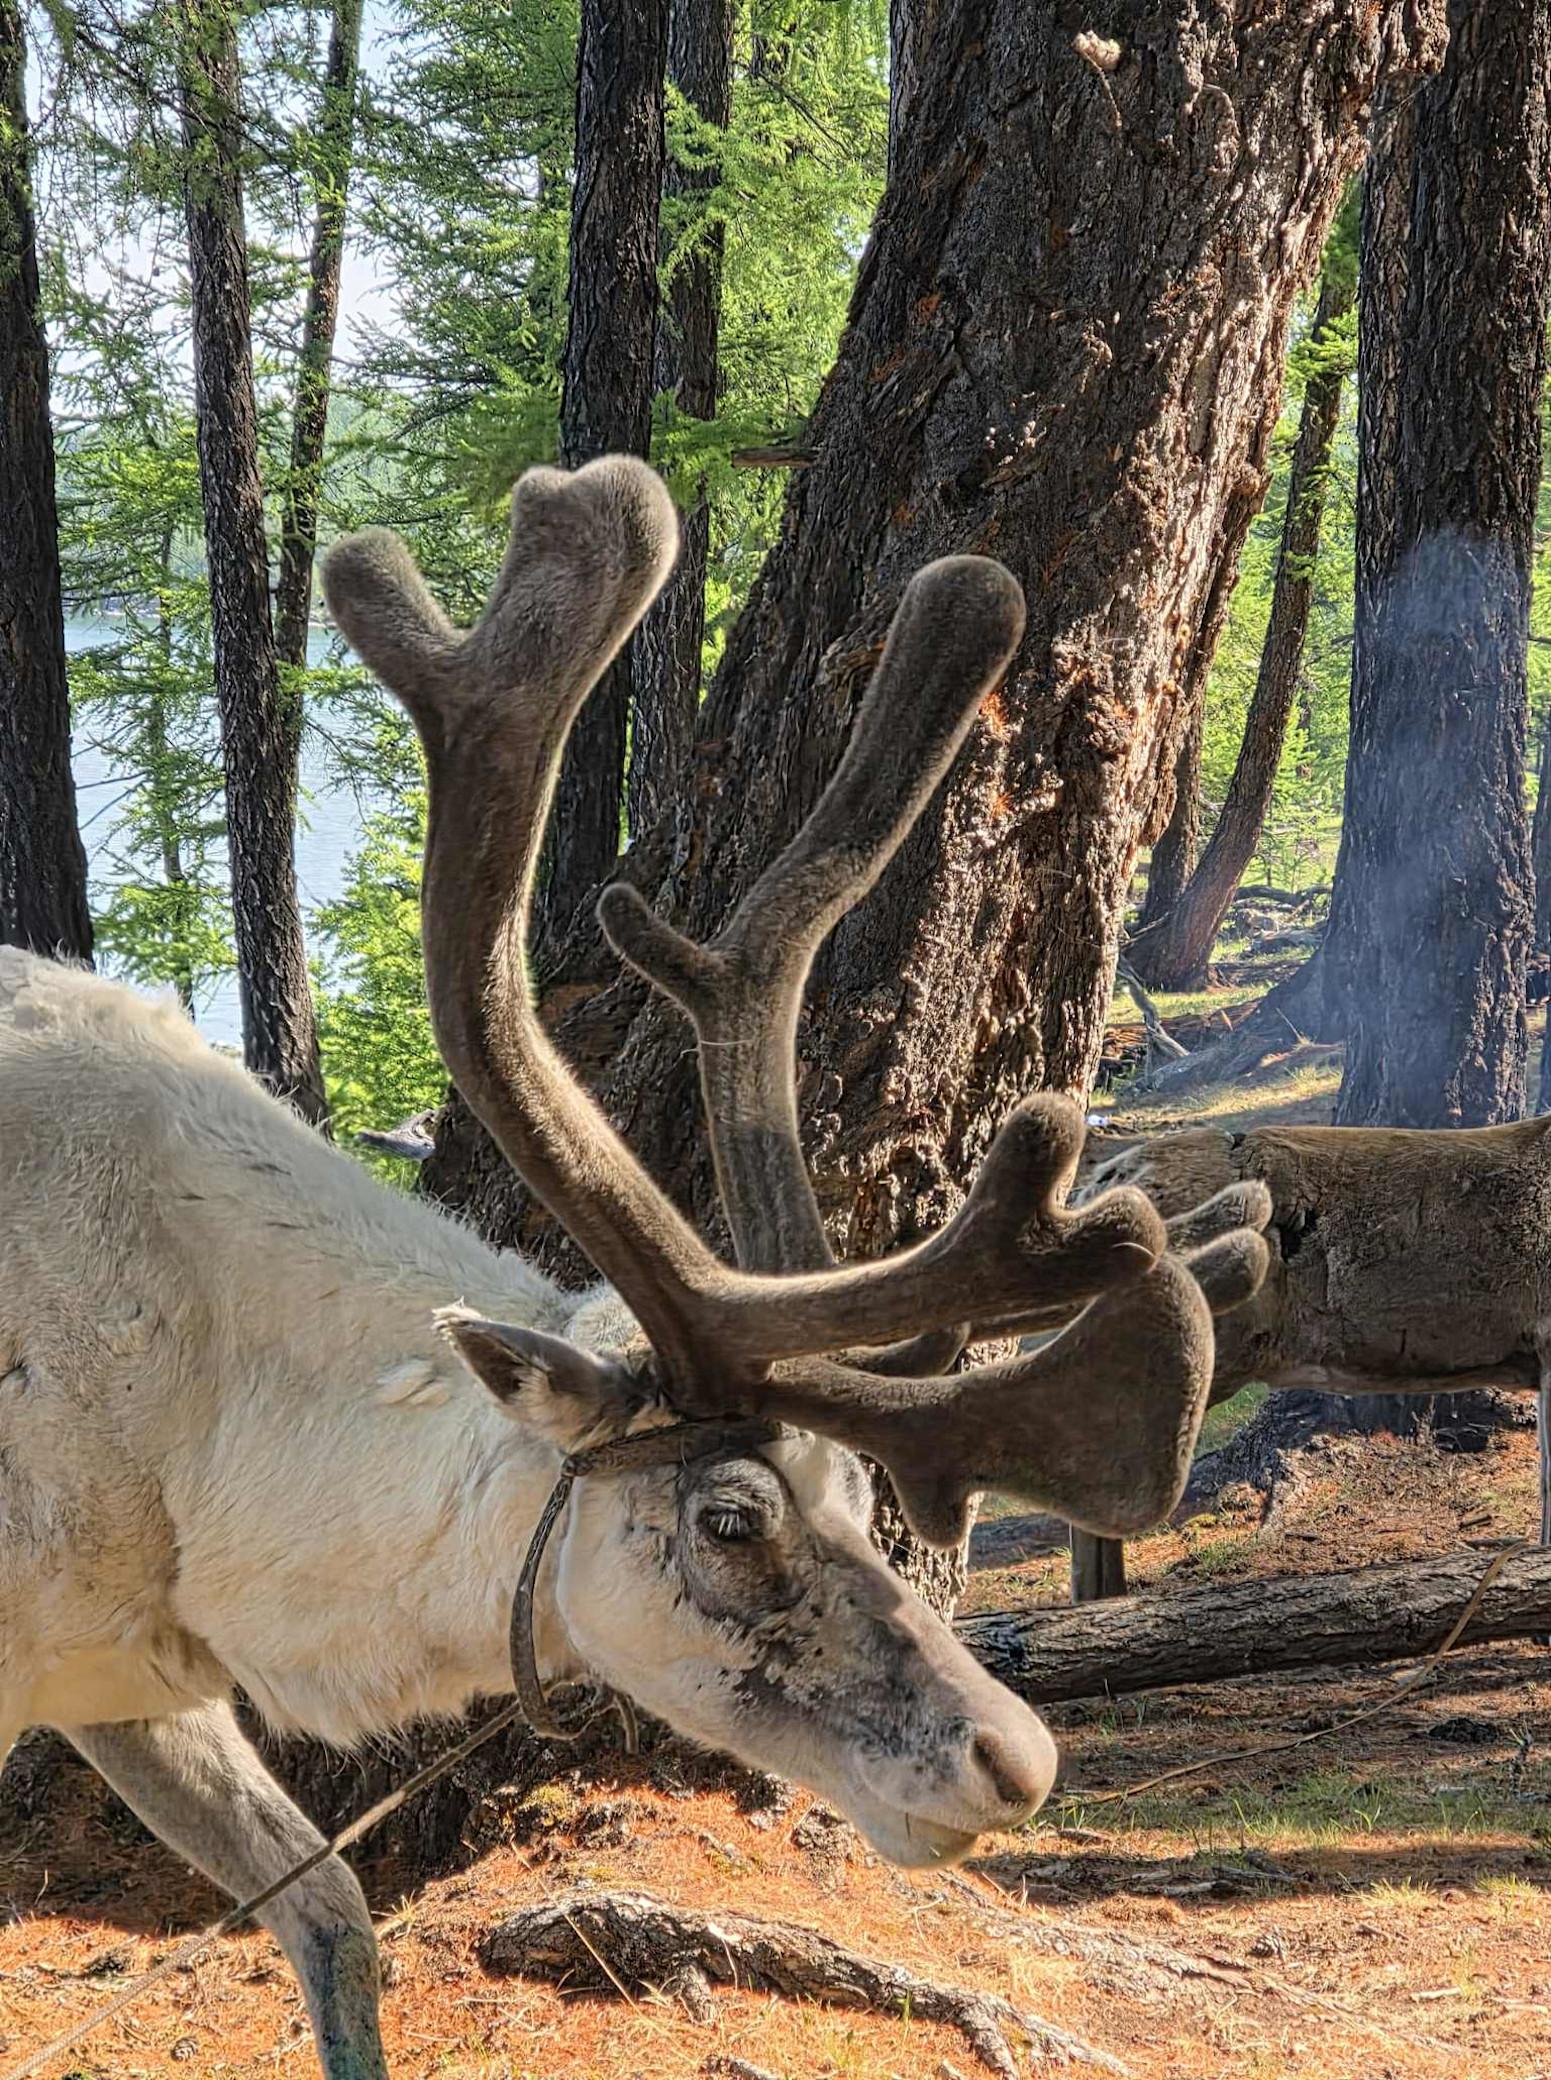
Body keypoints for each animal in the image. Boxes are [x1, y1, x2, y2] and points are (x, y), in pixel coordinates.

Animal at [0, 456, 1273, 2080]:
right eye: (728, 1518)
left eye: (855, 1488)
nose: (1015, 1759)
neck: (211, 1464)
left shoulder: (126, 1680)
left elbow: (335, 1918)